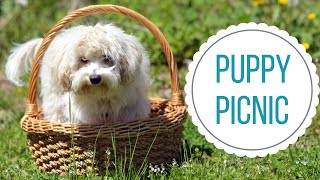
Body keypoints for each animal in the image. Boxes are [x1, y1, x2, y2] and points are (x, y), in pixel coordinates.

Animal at [5, 23, 151, 125]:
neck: (101, 96)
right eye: (83, 60)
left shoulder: (131, 110)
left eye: (106, 58)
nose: (94, 78)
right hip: (53, 95)